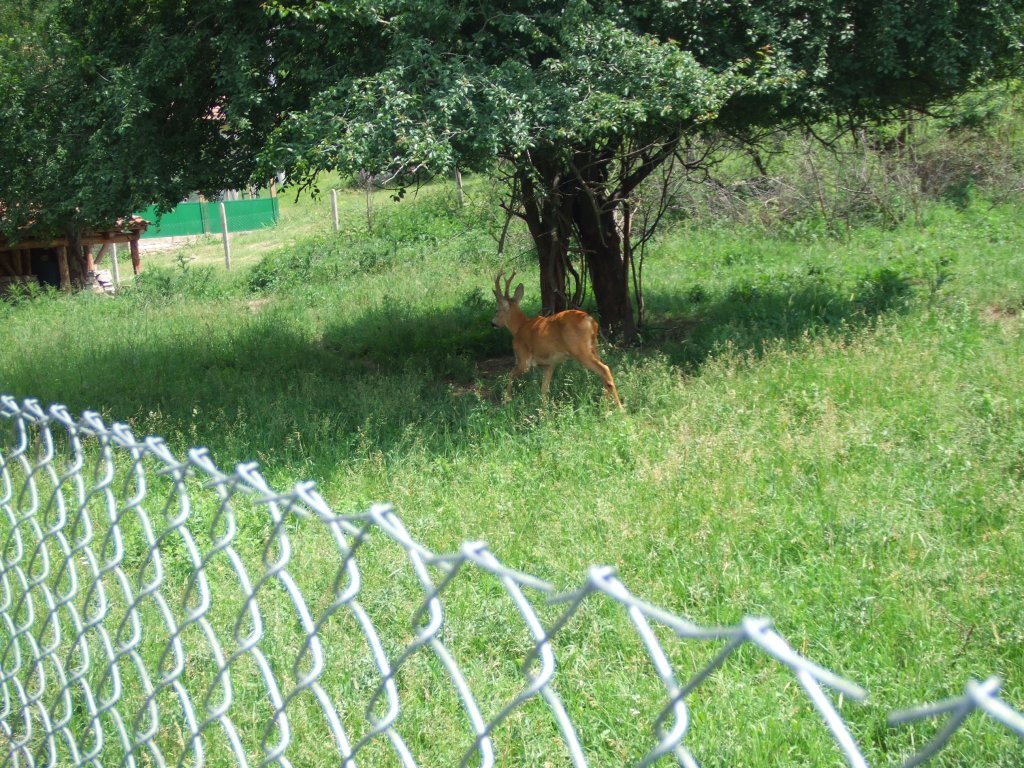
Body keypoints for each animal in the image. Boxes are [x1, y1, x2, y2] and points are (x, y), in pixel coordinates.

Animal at [489, 270, 622, 409]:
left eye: (496, 310)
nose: (493, 324)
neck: (520, 327)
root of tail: (591, 321)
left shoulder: (523, 359)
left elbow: (510, 376)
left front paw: (507, 400)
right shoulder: (549, 364)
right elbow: (544, 390)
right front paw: (545, 410)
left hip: (580, 351)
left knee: (604, 369)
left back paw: (619, 408)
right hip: (593, 347)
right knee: (603, 374)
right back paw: (605, 406)